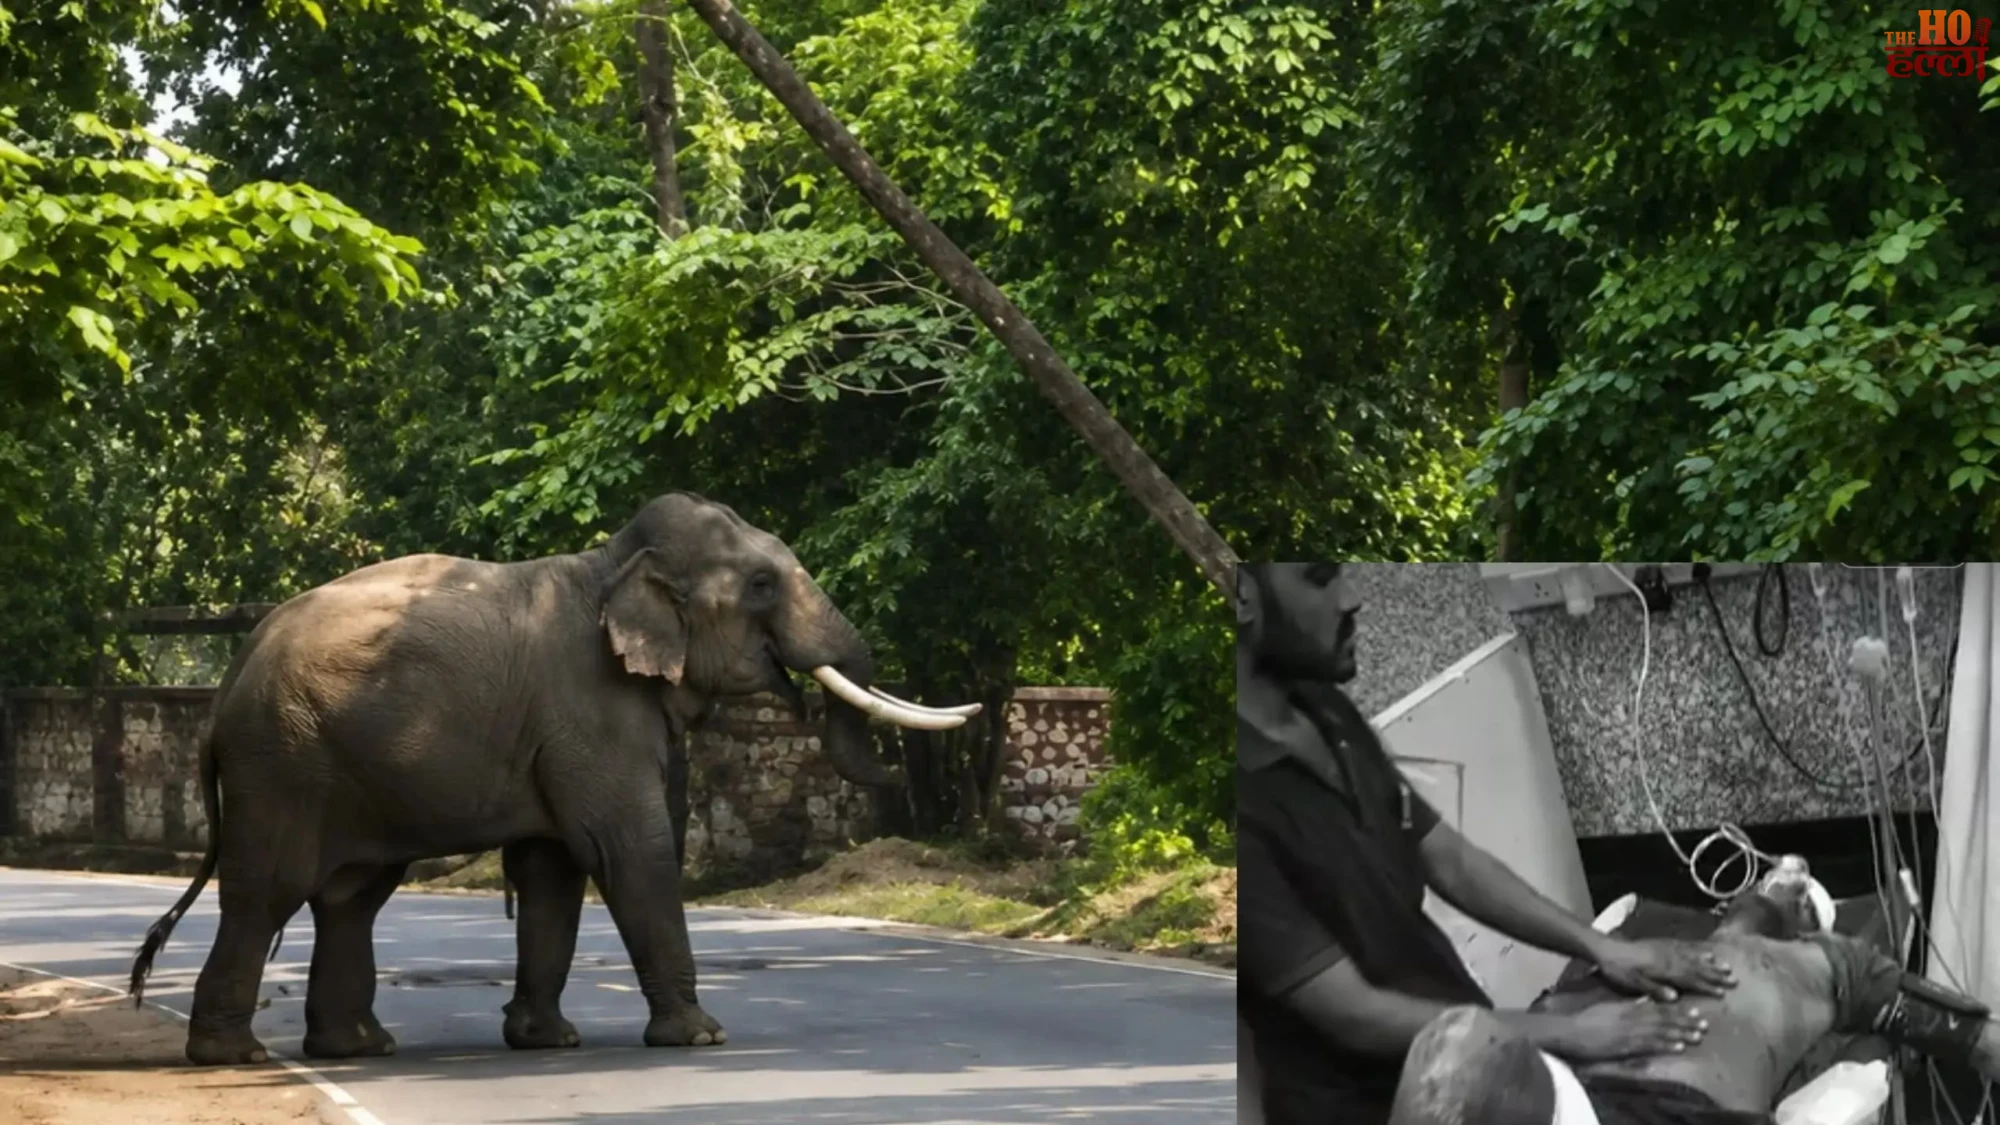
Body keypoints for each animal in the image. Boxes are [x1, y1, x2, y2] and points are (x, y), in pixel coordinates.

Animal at [127, 492, 978, 1066]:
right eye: (764, 585)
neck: (613, 563)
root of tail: (229, 678)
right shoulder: (591, 711)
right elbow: (629, 847)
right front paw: (701, 1037)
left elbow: (554, 871)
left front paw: (548, 1042)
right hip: (284, 760)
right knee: (269, 890)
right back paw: (236, 1056)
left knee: (352, 895)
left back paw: (360, 1047)